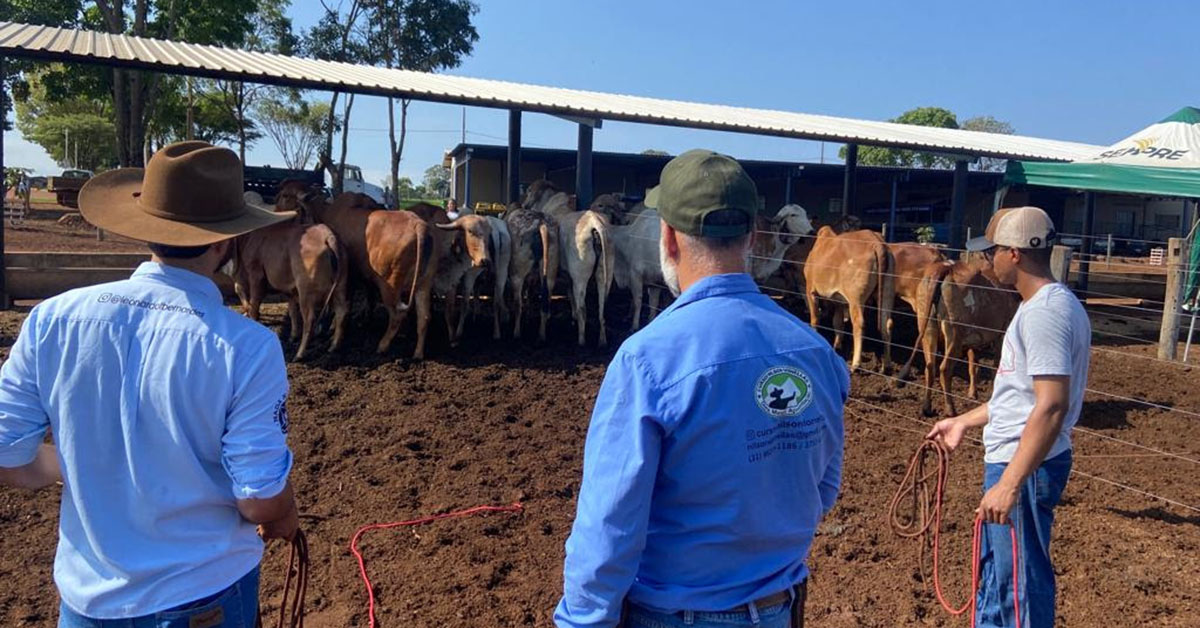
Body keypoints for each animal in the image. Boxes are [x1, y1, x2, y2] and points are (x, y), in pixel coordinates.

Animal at [230, 222, 350, 360]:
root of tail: (327, 234)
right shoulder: (290, 290)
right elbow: (292, 311)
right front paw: (292, 336)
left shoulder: (256, 274)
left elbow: (252, 301)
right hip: (341, 284)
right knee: (341, 311)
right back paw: (333, 346)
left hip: (306, 291)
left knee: (309, 319)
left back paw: (299, 354)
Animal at [300, 192, 436, 357]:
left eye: (303, 212)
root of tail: (418, 225)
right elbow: (368, 296)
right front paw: (365, 318)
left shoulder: (349, 274)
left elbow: (344, 302)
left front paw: (333, 327)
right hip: (423, 284)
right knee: (424, 317)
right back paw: (418, 353)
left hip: (389, 285)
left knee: (397, 315)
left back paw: (382, 345)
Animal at [806, 226, 892, 372]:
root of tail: (875, 241)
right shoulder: (839, 301)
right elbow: (837, 323)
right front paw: (837, 346)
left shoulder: (810, 290)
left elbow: (815, 319)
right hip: (886, 294)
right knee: (886, 324)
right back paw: (886, 364)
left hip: (855, 299)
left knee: (859, 324)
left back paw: (855, 364)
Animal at [902, 258, 1017, 415]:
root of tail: (947, 267)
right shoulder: (1002, 333)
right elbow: (995, 366)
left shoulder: (974, 341)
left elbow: (973, 366)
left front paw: (972, 393)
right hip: (954, 334)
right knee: (944, 369)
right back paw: (950, 409)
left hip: (928, 328)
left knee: (930, 366)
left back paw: (927, 407)